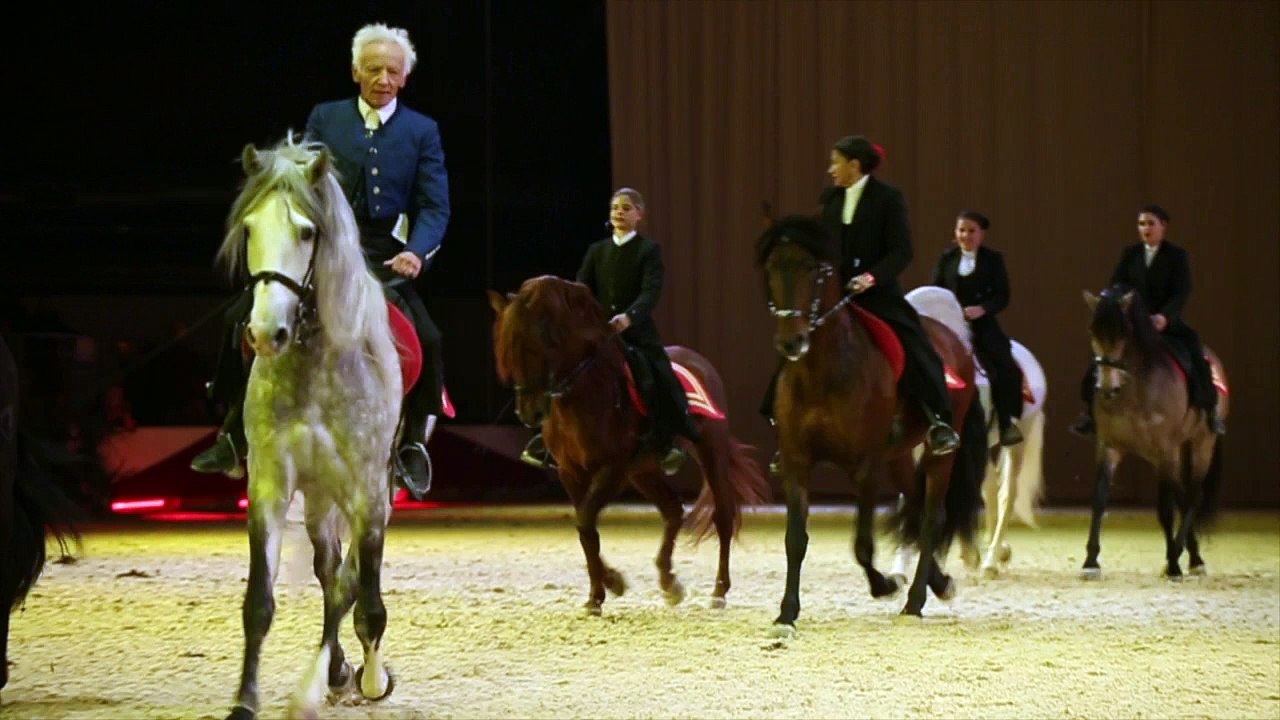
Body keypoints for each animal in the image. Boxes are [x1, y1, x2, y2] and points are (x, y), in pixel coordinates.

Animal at [217, 134, 404, 720]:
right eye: (249, 229)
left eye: (306, 231)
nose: (265, 333)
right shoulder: (271, 486)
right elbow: (260, 602)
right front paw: (245, 701)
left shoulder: (369, 493)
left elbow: (364, 599)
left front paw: (371, 680)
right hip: (319, 497)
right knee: (328, 570)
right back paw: (337, 668)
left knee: (347, 581)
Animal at [488, 276, 770, 615]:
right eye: (507, 352)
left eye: (539, 346)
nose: (528, 413)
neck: (583, 393)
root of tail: (699, 361)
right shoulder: (571, 472)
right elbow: (585, 526)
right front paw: (603, 588)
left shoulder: (613, 469)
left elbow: (586, 520)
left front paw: (606, 586)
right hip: (644, 470)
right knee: (673, 510)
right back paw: (669, 582)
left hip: (708, 452)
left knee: (723, 517)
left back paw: (718, 593)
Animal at [756, 215, 986, 628]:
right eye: (770, 268)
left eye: (812, 269)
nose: (791, 342)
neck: (822, 371)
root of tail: (955, 341)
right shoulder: (797, 462)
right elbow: (795, 540)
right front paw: (787, 612)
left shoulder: (864, 467)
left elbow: (862, 543)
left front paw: (883, 586)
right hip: (897, 457)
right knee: (915, 507)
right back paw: (938, 583)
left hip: (938, 451)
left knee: (931, 515)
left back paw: (915, 600)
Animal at [893, 286, 1047, 578]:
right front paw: (899, 565)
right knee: (990, 489)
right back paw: (991, 552)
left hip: (1017, 442)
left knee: (1006, 495)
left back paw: (990, 560)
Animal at [1079, 285, 1227, 580]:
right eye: (1093, 331)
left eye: (1123, 333)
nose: (1107, 388)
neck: (1133, 391)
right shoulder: (1109, 447)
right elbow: (1099, 501)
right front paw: (1091, 561)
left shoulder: (1164, 450)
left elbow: (1165, 510)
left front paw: (1173, 564)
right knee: (1184, 495)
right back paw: (1193, 555)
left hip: (1202, 444)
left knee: (1193, 496)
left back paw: (1190, 559)